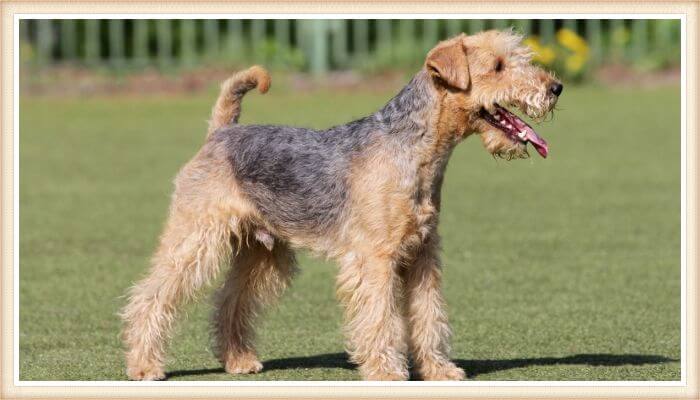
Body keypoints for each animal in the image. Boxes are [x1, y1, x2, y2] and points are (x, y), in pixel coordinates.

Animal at [119, 31, 556, 382]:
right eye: (498, 66)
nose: (555, 87)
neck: (416, 152)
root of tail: (221, 132)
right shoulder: (375, 258)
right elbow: (381, 318)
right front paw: (387, 372)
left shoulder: (422, 255)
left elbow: (428, 316)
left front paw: (439, 371)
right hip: (196, 237)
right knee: (150, 297)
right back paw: (144, 366)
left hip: (262, 252)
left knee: (230, 302)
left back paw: (238, 360)